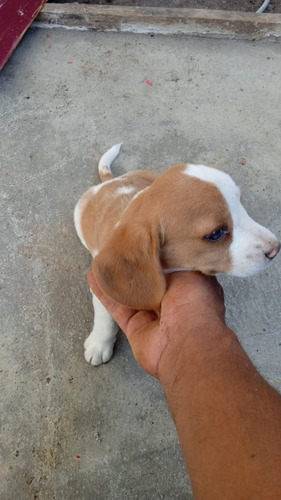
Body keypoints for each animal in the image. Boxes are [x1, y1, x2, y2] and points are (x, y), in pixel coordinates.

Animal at [73, 143, 278, 366]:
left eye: (242, 205)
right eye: (215, 234)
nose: (276, 249)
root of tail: (111, 181)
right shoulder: (100, 287)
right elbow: (105, 317)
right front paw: (99, 344)